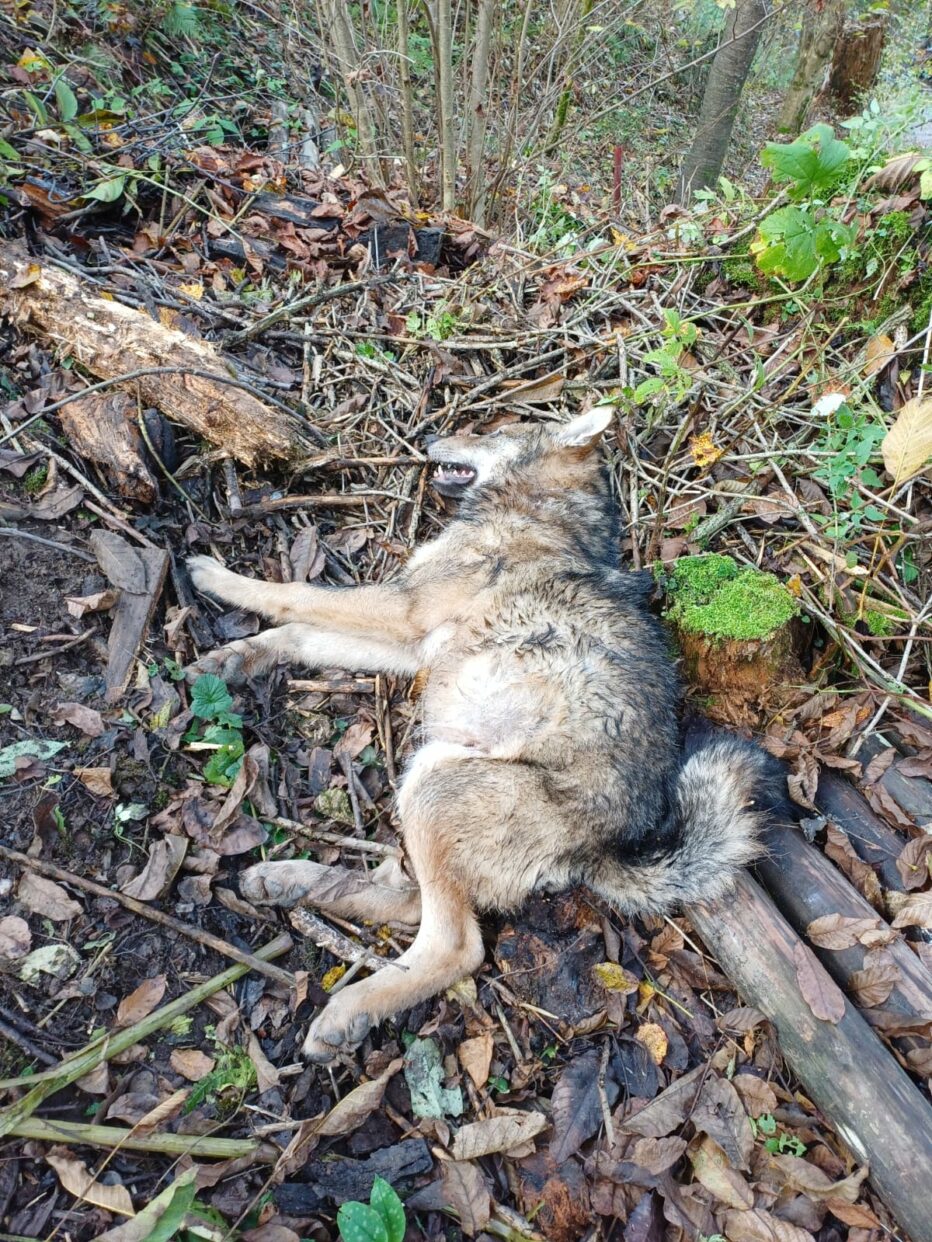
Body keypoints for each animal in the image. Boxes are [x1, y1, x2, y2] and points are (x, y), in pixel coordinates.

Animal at [186, 412, 785, 1063]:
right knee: (413, 901)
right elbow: (298, 631)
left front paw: (215, 577)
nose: (429, 440)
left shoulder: (402, 610)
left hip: (434, 785)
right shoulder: (410, 642)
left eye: (490, 428)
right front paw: (236, 657)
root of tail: (603, 850)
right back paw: (286, 881)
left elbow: (292, 594)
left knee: (456, 945)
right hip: (428, 780)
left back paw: (346, 1011)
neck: (539, 511)